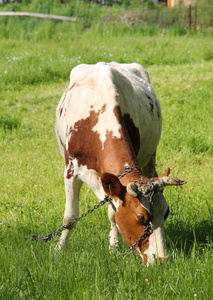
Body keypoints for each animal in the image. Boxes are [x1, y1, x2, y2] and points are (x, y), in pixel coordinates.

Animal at [55, 61, 186, 264]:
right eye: (141, 218)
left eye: (166, 214)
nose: (161, 259)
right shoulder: (71, 170)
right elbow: (70, 217)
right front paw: (59, 250)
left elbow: (113, 215)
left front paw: (114, 249)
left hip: (150, 158)